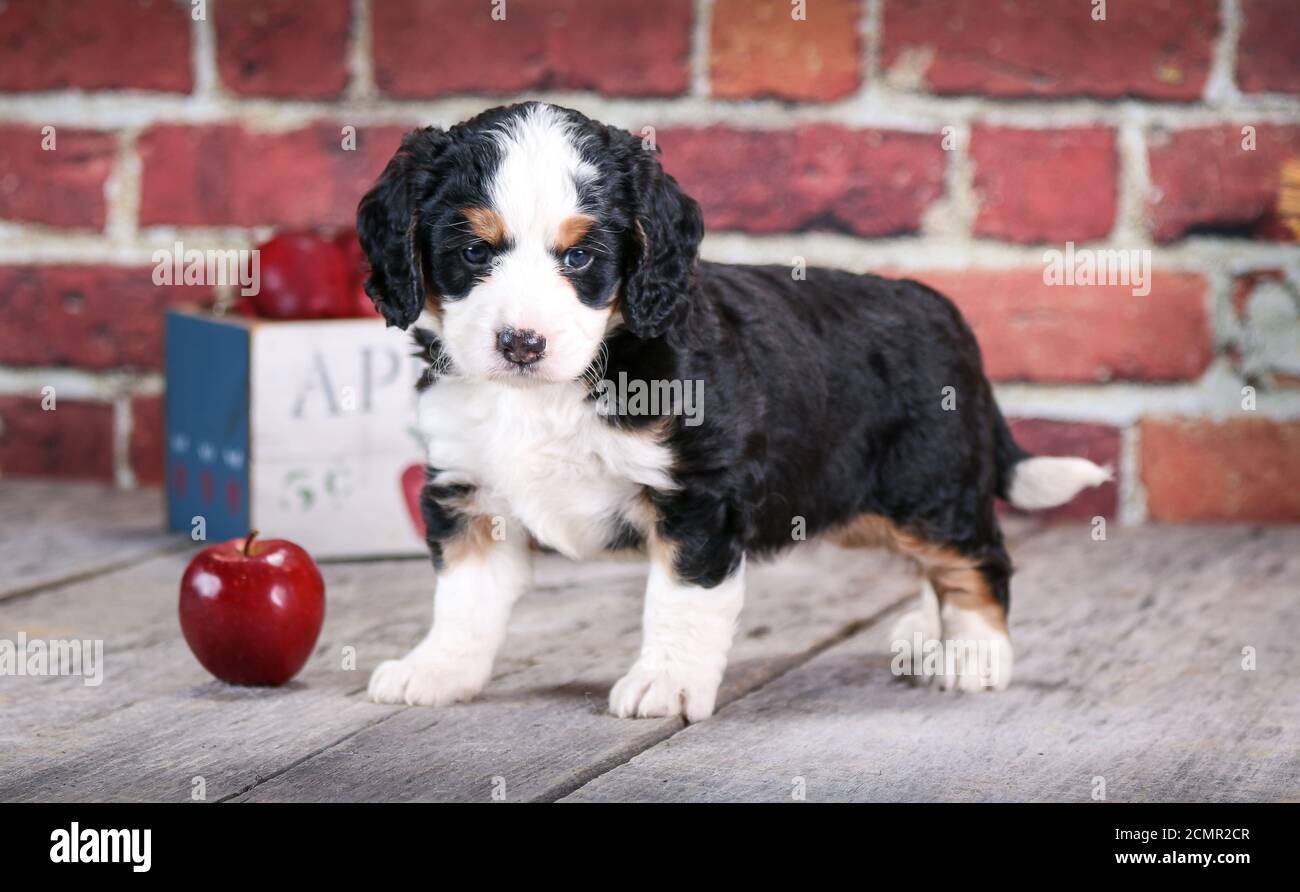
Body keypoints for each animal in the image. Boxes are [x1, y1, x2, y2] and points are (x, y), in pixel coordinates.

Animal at [356, 103, 1107, 717]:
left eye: (581, 257)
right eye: (472, 251)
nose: (520, 343)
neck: (556, 390)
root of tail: (943, 309)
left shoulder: (697, 495)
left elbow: (681, 602)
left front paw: (666, 684)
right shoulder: (470, 494)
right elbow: (464, 601)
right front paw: (437, 671)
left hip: (929, 488)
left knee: (978, 559)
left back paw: (973, 652)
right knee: (937, 568)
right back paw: (929, 631)